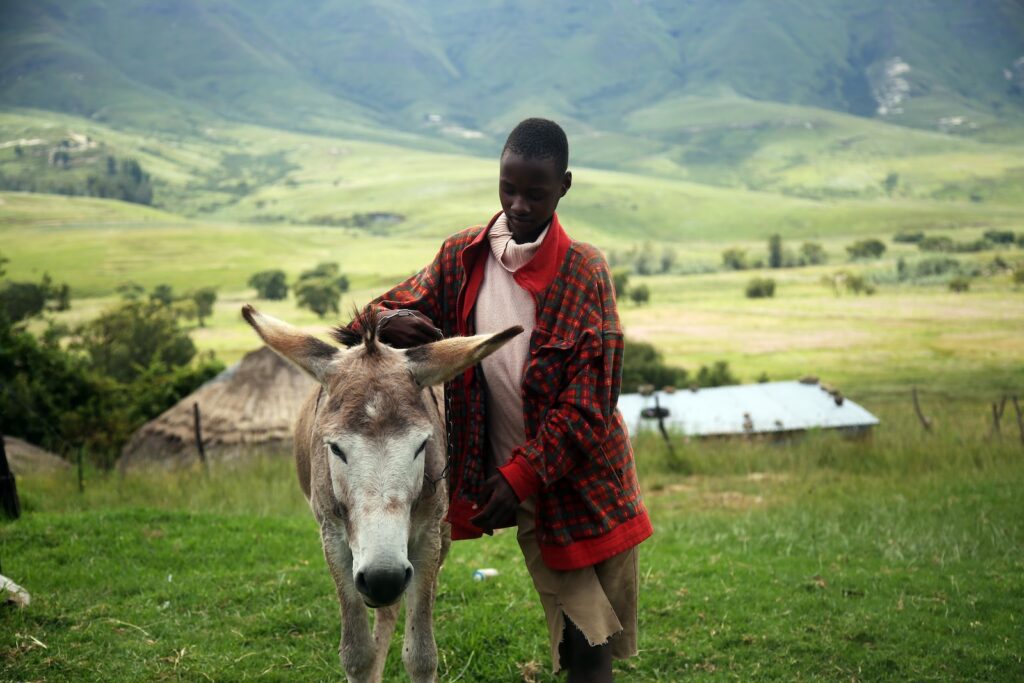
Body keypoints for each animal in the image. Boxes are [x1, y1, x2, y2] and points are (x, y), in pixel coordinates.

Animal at [241, 304, 521, 682]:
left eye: (421, 445)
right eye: (335, 448)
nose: (382, 579)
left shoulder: (427, 536)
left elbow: (421, 655)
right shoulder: (332, 536)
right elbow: (356, 654)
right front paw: (367, 661)